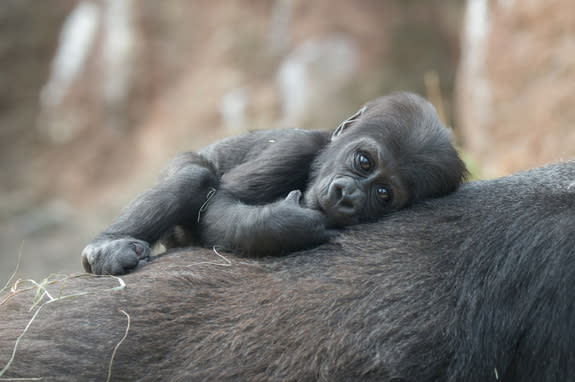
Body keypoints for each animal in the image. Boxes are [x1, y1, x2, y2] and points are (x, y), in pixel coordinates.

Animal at [82, 92, 468, 274]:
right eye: (364, 162)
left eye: (384, 194)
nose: (347, 196)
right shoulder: (295, 148)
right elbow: (221, 203)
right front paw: (288, 225)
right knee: (194, 177)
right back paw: (106, 248)